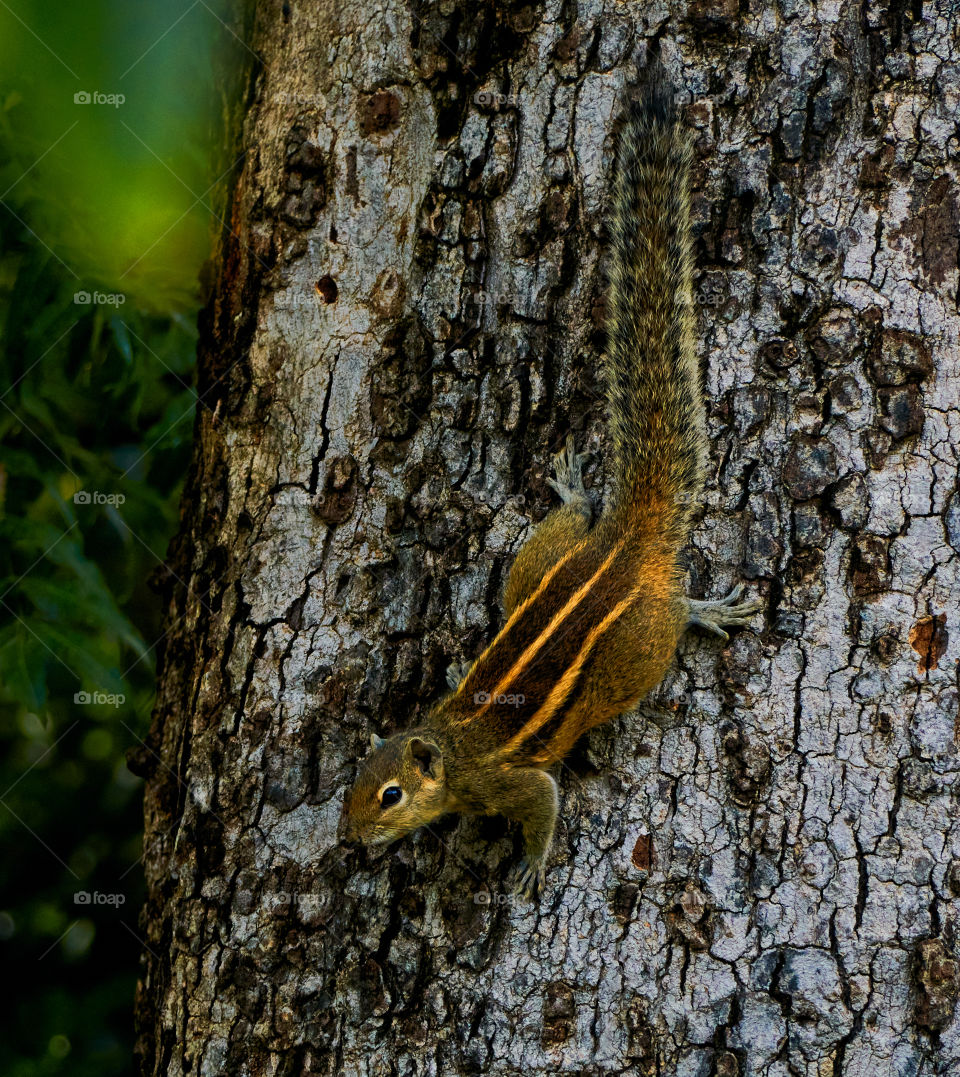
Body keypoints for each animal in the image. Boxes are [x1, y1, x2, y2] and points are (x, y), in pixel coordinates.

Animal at [342, 61, 762, 900]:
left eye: (391, 794)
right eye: (353, 784)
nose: (349, 838)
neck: (447, 744)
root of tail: (626, 542)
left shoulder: (507, 780)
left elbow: (540, 801)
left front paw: (531, 864)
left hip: (638, 651)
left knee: (674, 618)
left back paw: (708, 610)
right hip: (539, 561)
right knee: (560, 532)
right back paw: (572, 491)